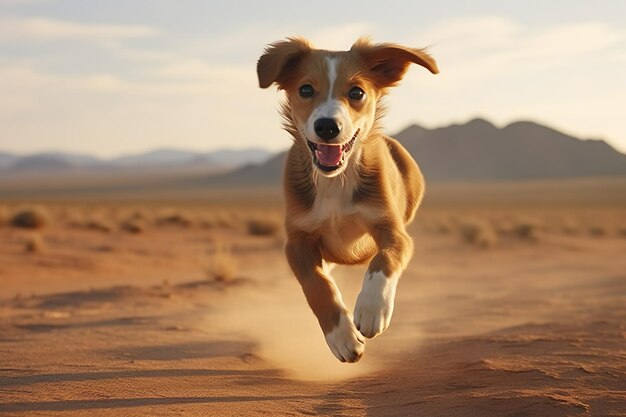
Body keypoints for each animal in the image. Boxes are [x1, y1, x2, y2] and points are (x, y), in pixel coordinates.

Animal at [256, 37, 436, 360]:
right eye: (305, 89)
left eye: (357, 92)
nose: (328, 126)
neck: (334, 183)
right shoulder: (297, 241)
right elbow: (317, 285)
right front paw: (341, 335)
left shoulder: (393, 231)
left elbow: (384, 258)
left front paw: (371, 308)